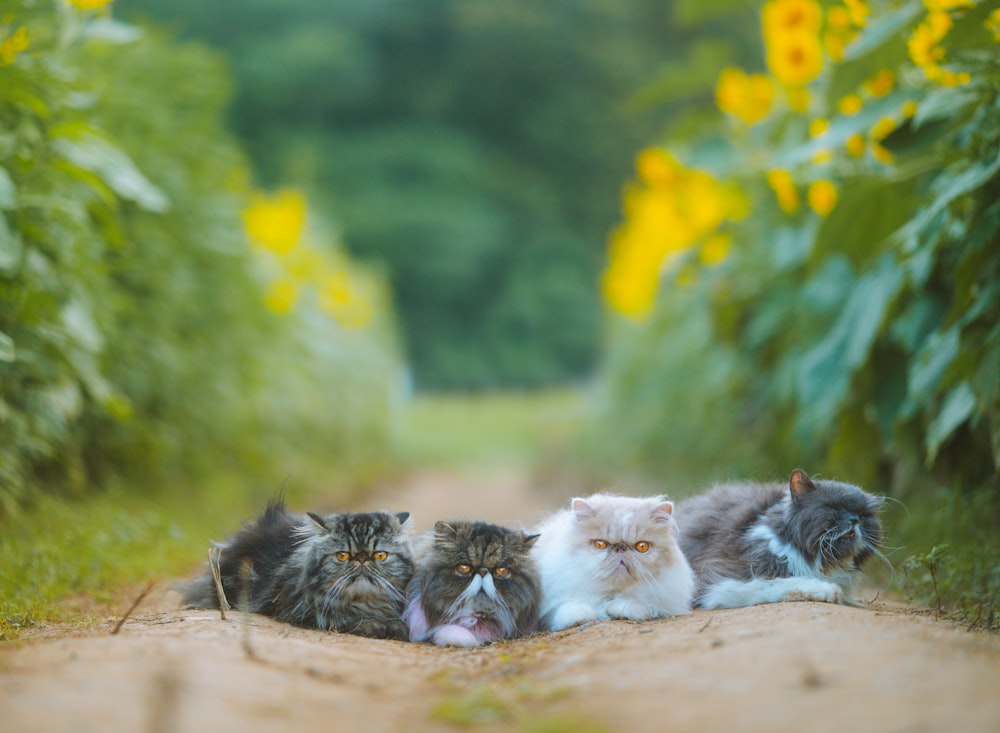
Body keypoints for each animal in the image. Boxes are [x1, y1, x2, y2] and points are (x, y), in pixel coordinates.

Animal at [180, 498, 414, 640]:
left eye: (380, 555)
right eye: (343, 555)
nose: (363, 560)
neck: (364, 602)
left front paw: (395, 627)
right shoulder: (303, 611)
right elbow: (347, 619)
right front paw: (375, 626)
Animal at [532, 494, 696, 632]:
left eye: (642, 546)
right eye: (600, 544)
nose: (621, 548)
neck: (610, 593)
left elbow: (634, 605)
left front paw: (620, 609)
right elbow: (570, 607)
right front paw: (582, 616)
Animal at [676, 468, 888, 608]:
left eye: (863, 515)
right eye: (832, 507)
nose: (853, 520)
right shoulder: (717, 579)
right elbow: (777, 582)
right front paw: (828, 590)